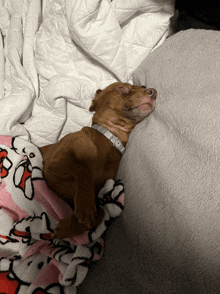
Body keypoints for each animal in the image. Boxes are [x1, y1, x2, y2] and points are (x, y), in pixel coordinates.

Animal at [39, 81, 156, 238]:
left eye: (143, 87)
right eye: (122, 88)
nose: (153, 91)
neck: (110, 139)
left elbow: (100, 212)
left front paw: (68, 227)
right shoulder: (56, 161)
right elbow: (83, 170)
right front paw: (85, 205)